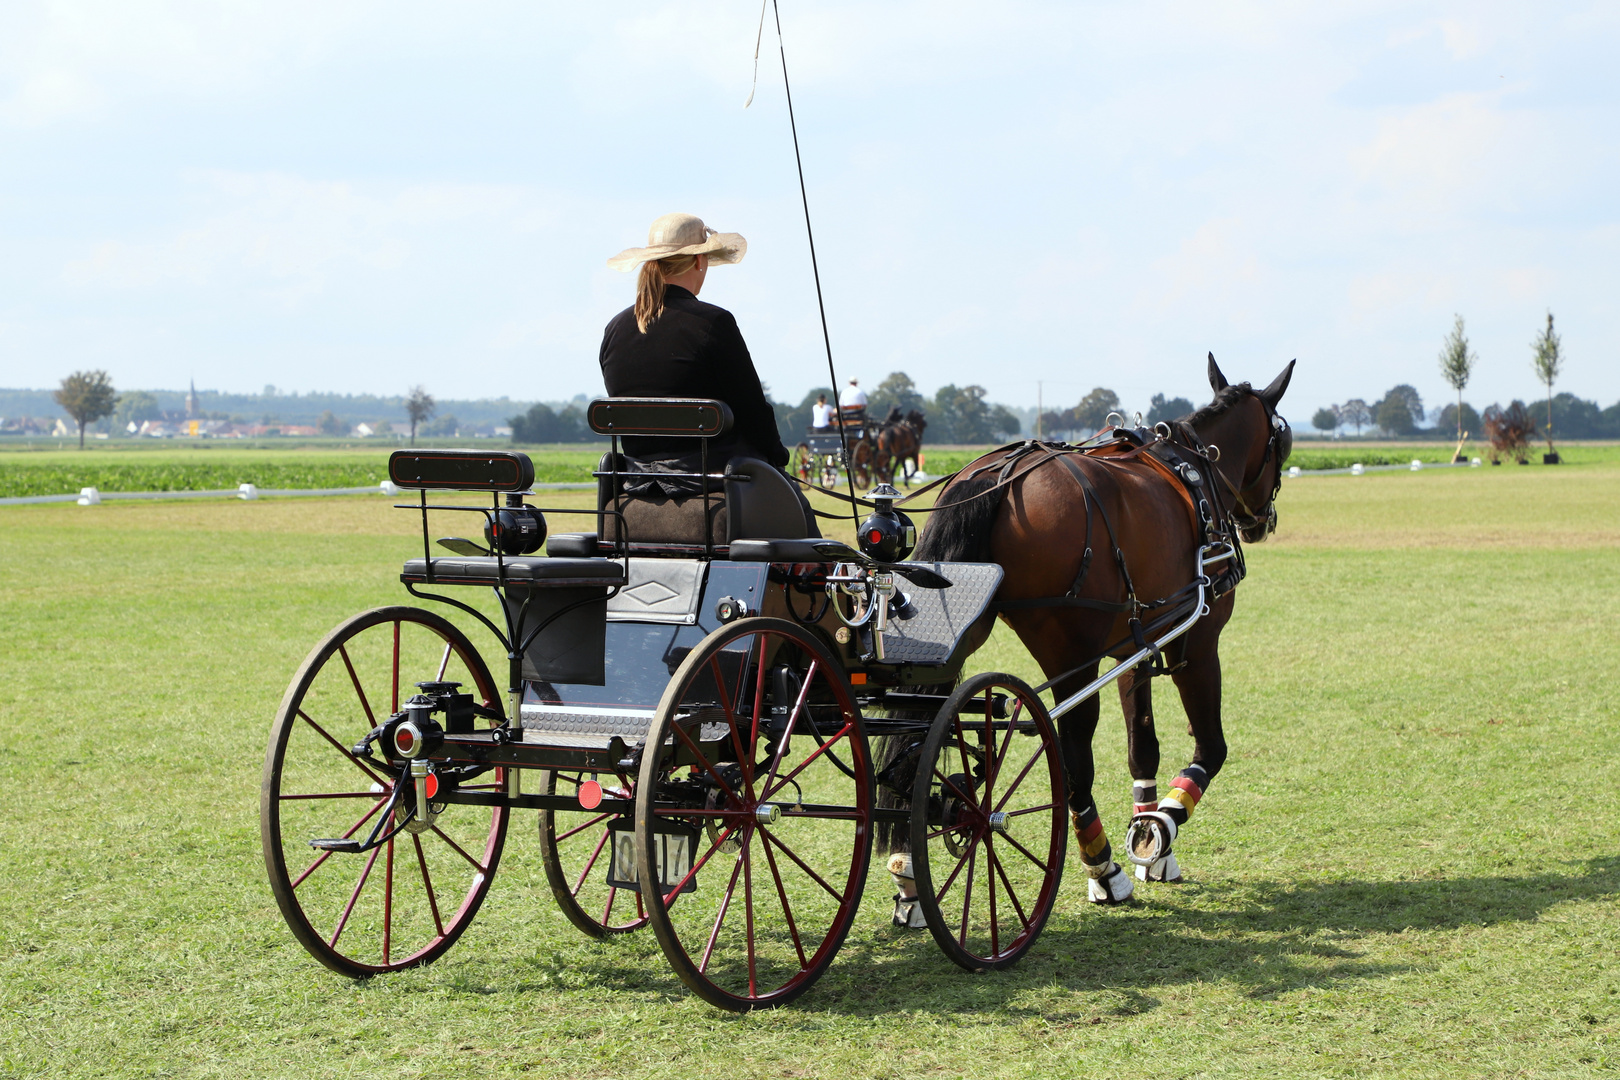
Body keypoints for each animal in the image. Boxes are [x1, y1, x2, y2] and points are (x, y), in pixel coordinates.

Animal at [881, 359, 1296, 919]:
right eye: (1282, 442)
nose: (1261, 522)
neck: (1195, 468)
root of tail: (998, 475)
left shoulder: (1134, 645)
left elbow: (1142, 746)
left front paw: (1149, 836)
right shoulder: (1196, 644)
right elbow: (1211, 748)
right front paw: (1159, 828)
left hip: (963, 630)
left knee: (919, 733)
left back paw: (908, 871)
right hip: (1070, 652)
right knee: (1072, 750)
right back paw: (1102, 867)